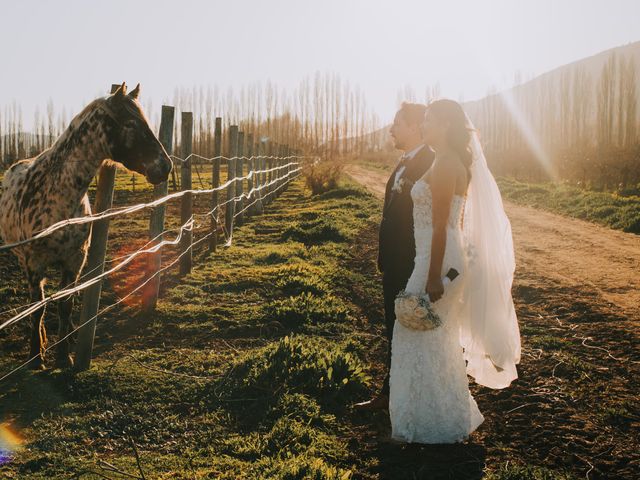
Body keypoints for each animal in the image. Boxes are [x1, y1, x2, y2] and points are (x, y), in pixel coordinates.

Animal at [0, 81, 172, 368]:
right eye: (130, 124)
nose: (165, 166)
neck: (57, 193)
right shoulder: (35, 263)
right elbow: (39, 308)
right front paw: (36, 357)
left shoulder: (75, 259)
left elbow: (66, 305)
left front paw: (63, 356)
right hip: (25, 262)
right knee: (36, 303)